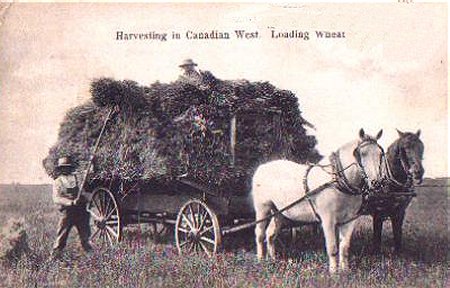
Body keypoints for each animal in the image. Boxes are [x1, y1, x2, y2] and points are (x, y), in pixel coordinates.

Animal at [251, 129, 384, 274]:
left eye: (380, 154)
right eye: (362, 154)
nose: (376, 183)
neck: (337, 181)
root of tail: (261, 168)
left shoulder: (349, 220)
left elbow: (344, 247)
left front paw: (345, 271)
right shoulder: (328, 219)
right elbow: (332, 248)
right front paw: (334, 273)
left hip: (279, 212)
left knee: (270, 234)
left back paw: (273, 260)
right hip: (263, 208)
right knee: (259, 233)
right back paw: (260, 260)